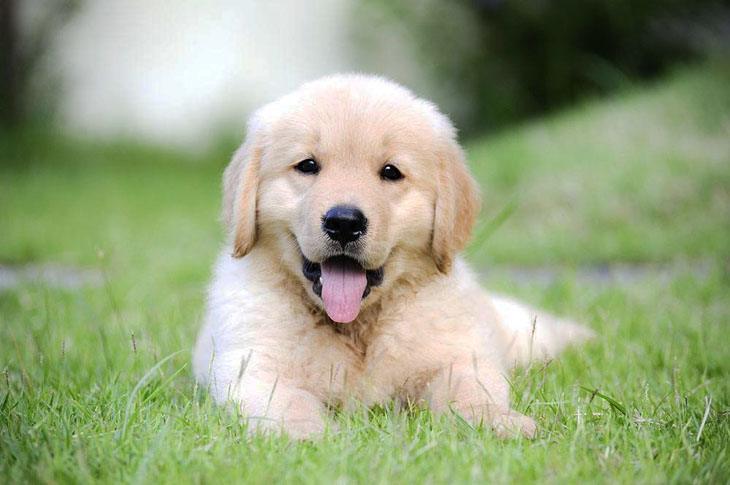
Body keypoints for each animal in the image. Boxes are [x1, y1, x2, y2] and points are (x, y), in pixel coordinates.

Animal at [193, 74, 592, 438]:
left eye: (390, 172)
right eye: (307, 165)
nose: (344, 223)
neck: (356, 327)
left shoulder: (460, 354)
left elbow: (470, 389)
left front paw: (495, 421)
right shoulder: (253, 365)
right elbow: (286, 402)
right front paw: (309, 437)